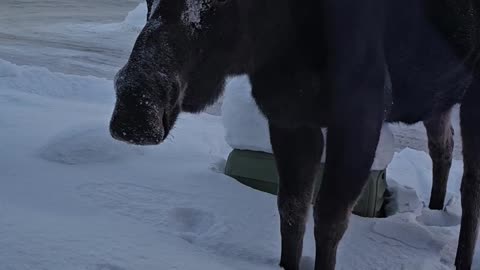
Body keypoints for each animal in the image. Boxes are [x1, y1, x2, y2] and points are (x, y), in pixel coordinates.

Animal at [109, 0, 480, 268]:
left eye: (216, 3)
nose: (134, 109)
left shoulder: (361, 112)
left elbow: (330, 218)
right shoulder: (288, 115)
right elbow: (291, 208)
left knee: (471, 186)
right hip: (441, 98)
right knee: (443, 147)